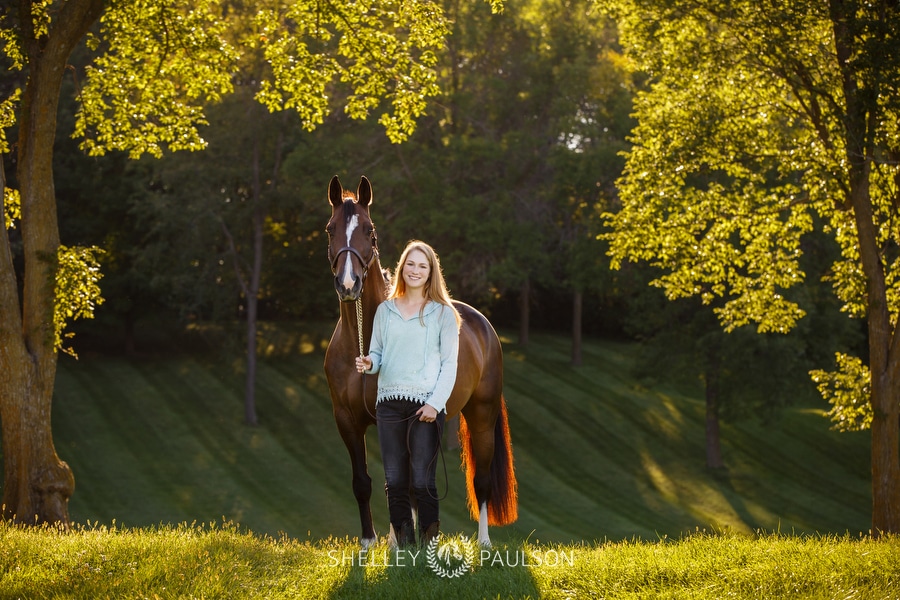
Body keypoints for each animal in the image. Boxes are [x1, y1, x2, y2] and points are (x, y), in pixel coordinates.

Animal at [324, 175, 516, 548]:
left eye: (369, 230)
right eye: (330, 229)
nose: (349, 284)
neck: (361, 338)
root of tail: (483, 326)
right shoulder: (348, 421)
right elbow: (366, 482)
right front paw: (373, 542)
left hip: (481, 416)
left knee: (482, 481)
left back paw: (484, 543)